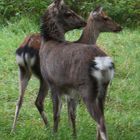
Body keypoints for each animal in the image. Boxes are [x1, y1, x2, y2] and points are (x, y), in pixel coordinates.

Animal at [11, 0, 86, 132]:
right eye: (68, 13)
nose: (84, 21)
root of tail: (26, 48)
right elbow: (63, 103)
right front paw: (67, 127)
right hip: (43, 77)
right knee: (39, 101)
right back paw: (48, 127)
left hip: (23, 71)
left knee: (19, 100)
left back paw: (13, 130)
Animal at [38, 0, 117, 139]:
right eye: (68, 13)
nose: (83, 22)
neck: (48, 42)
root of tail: (102, 61)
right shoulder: (71, 91)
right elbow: (71, 114)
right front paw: (73, 135)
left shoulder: (53, 83)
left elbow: (56, 114)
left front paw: (54, 134)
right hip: (103, 90)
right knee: (102, 118)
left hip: (87, 89)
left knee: (100, 122)